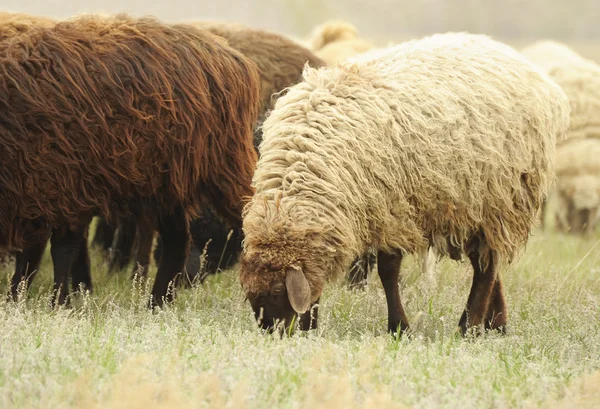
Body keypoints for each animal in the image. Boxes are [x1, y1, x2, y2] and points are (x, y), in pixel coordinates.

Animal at [1, 13, 262, 306]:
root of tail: (229, 56)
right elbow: (38, 254)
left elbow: (56, 252)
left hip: (222, 167)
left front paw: (57, 301)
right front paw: (24, 298)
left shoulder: (59, 190)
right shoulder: (45, 196)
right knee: (177, 241)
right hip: (167, 185)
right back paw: (157, 303)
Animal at [238, 31, 568, 334]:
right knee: (489, 262)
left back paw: (469, 326)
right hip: (476, 206)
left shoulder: (392, 208)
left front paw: (399, 327)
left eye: (278, 290)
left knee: (484, 268)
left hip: (499, 199)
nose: (270, 331)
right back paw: (495, 323)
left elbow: (388, 272)